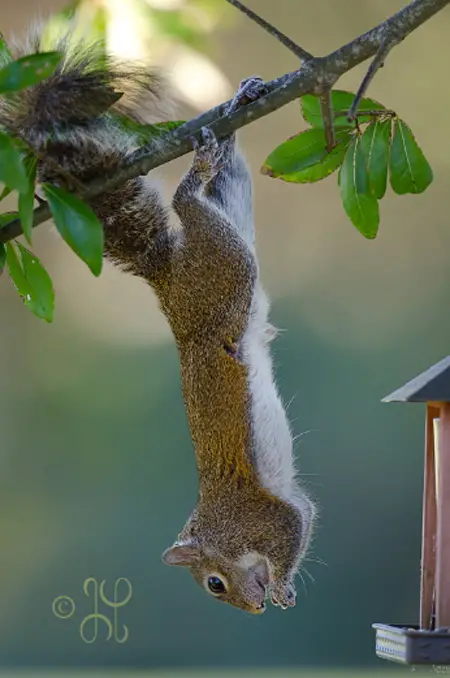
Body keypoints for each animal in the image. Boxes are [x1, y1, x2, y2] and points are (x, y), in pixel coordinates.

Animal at [0, 27, 316, 616]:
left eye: (214, 583)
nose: (254, 608)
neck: (219, 534)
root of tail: (167, 274)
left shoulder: (258, 518)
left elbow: (291, 525)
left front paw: (283, 586)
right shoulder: (284, 508)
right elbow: (305, 514)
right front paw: (284, 587)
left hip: (222, 272)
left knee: (188, 201)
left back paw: (197, 168)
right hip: (232, 235)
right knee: (229, 177)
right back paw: (236, 108)